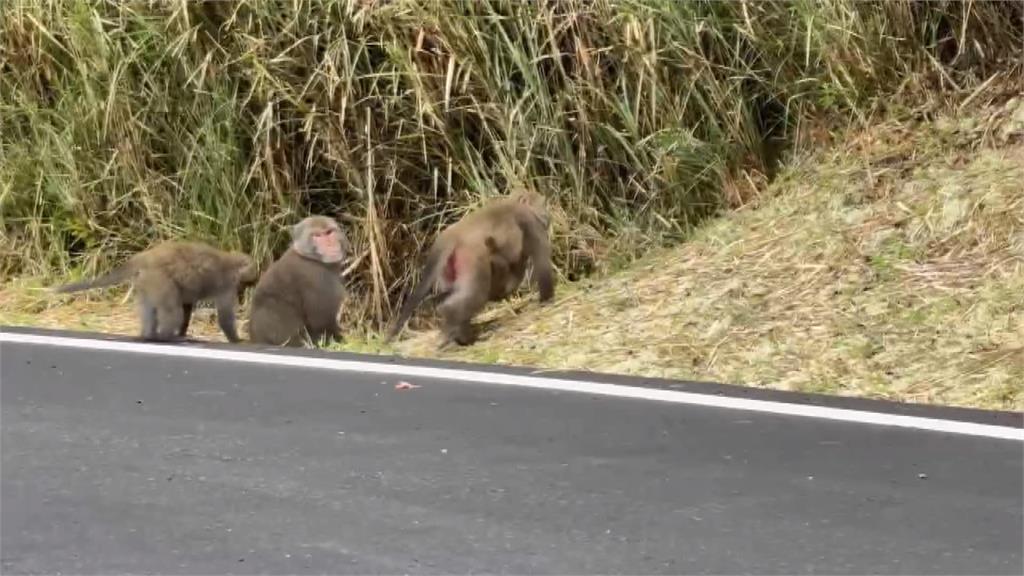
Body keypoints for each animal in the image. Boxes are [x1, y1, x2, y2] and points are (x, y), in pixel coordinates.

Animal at [51, 240, 260, 340]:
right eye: (244, 285)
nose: (242, 293)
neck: (232, 262)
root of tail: (145, 257)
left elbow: (187, 305)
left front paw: (182, 332)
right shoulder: (226, 285)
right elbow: (224, 317)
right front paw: (237, 340)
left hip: (145, 282)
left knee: (151, 308)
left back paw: (149, 335)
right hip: (159, 280)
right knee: (171, 310)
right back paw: (165, 337)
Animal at [246, 214, 352, 344]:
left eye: (329, 232)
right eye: (317, 235)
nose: (329, 245)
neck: (310, 258)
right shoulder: (318, 279)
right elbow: (321, 321)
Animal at [385, 190, 561, 344]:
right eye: (543, 205)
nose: (548, 216)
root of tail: (450, 236)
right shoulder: (530, 222)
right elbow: (541, 262)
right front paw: (547, 298)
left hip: (448, 267)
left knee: (453, 292)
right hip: (472, 258)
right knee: (474, 295)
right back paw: (461, 330)